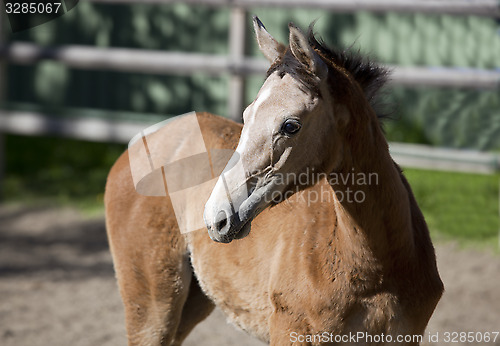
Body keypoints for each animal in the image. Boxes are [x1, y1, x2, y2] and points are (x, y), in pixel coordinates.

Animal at [104, 17, 442, 344]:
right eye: (246, 114)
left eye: (291, 125)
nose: (216, 218)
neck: (376, 269)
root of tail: (142, 139)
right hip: (153, 307)